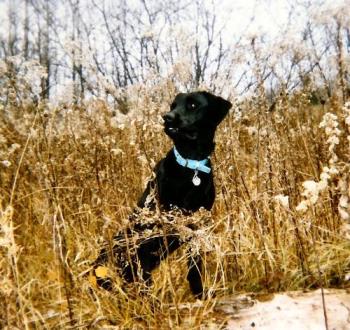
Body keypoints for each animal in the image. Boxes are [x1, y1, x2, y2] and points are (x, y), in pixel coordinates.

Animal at [93, 91, 231, 300]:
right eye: (173, 106)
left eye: (192, 105)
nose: (167, 117)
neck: (191, 165)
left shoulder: (199, 223)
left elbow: (194, 266)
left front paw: (200, 294)